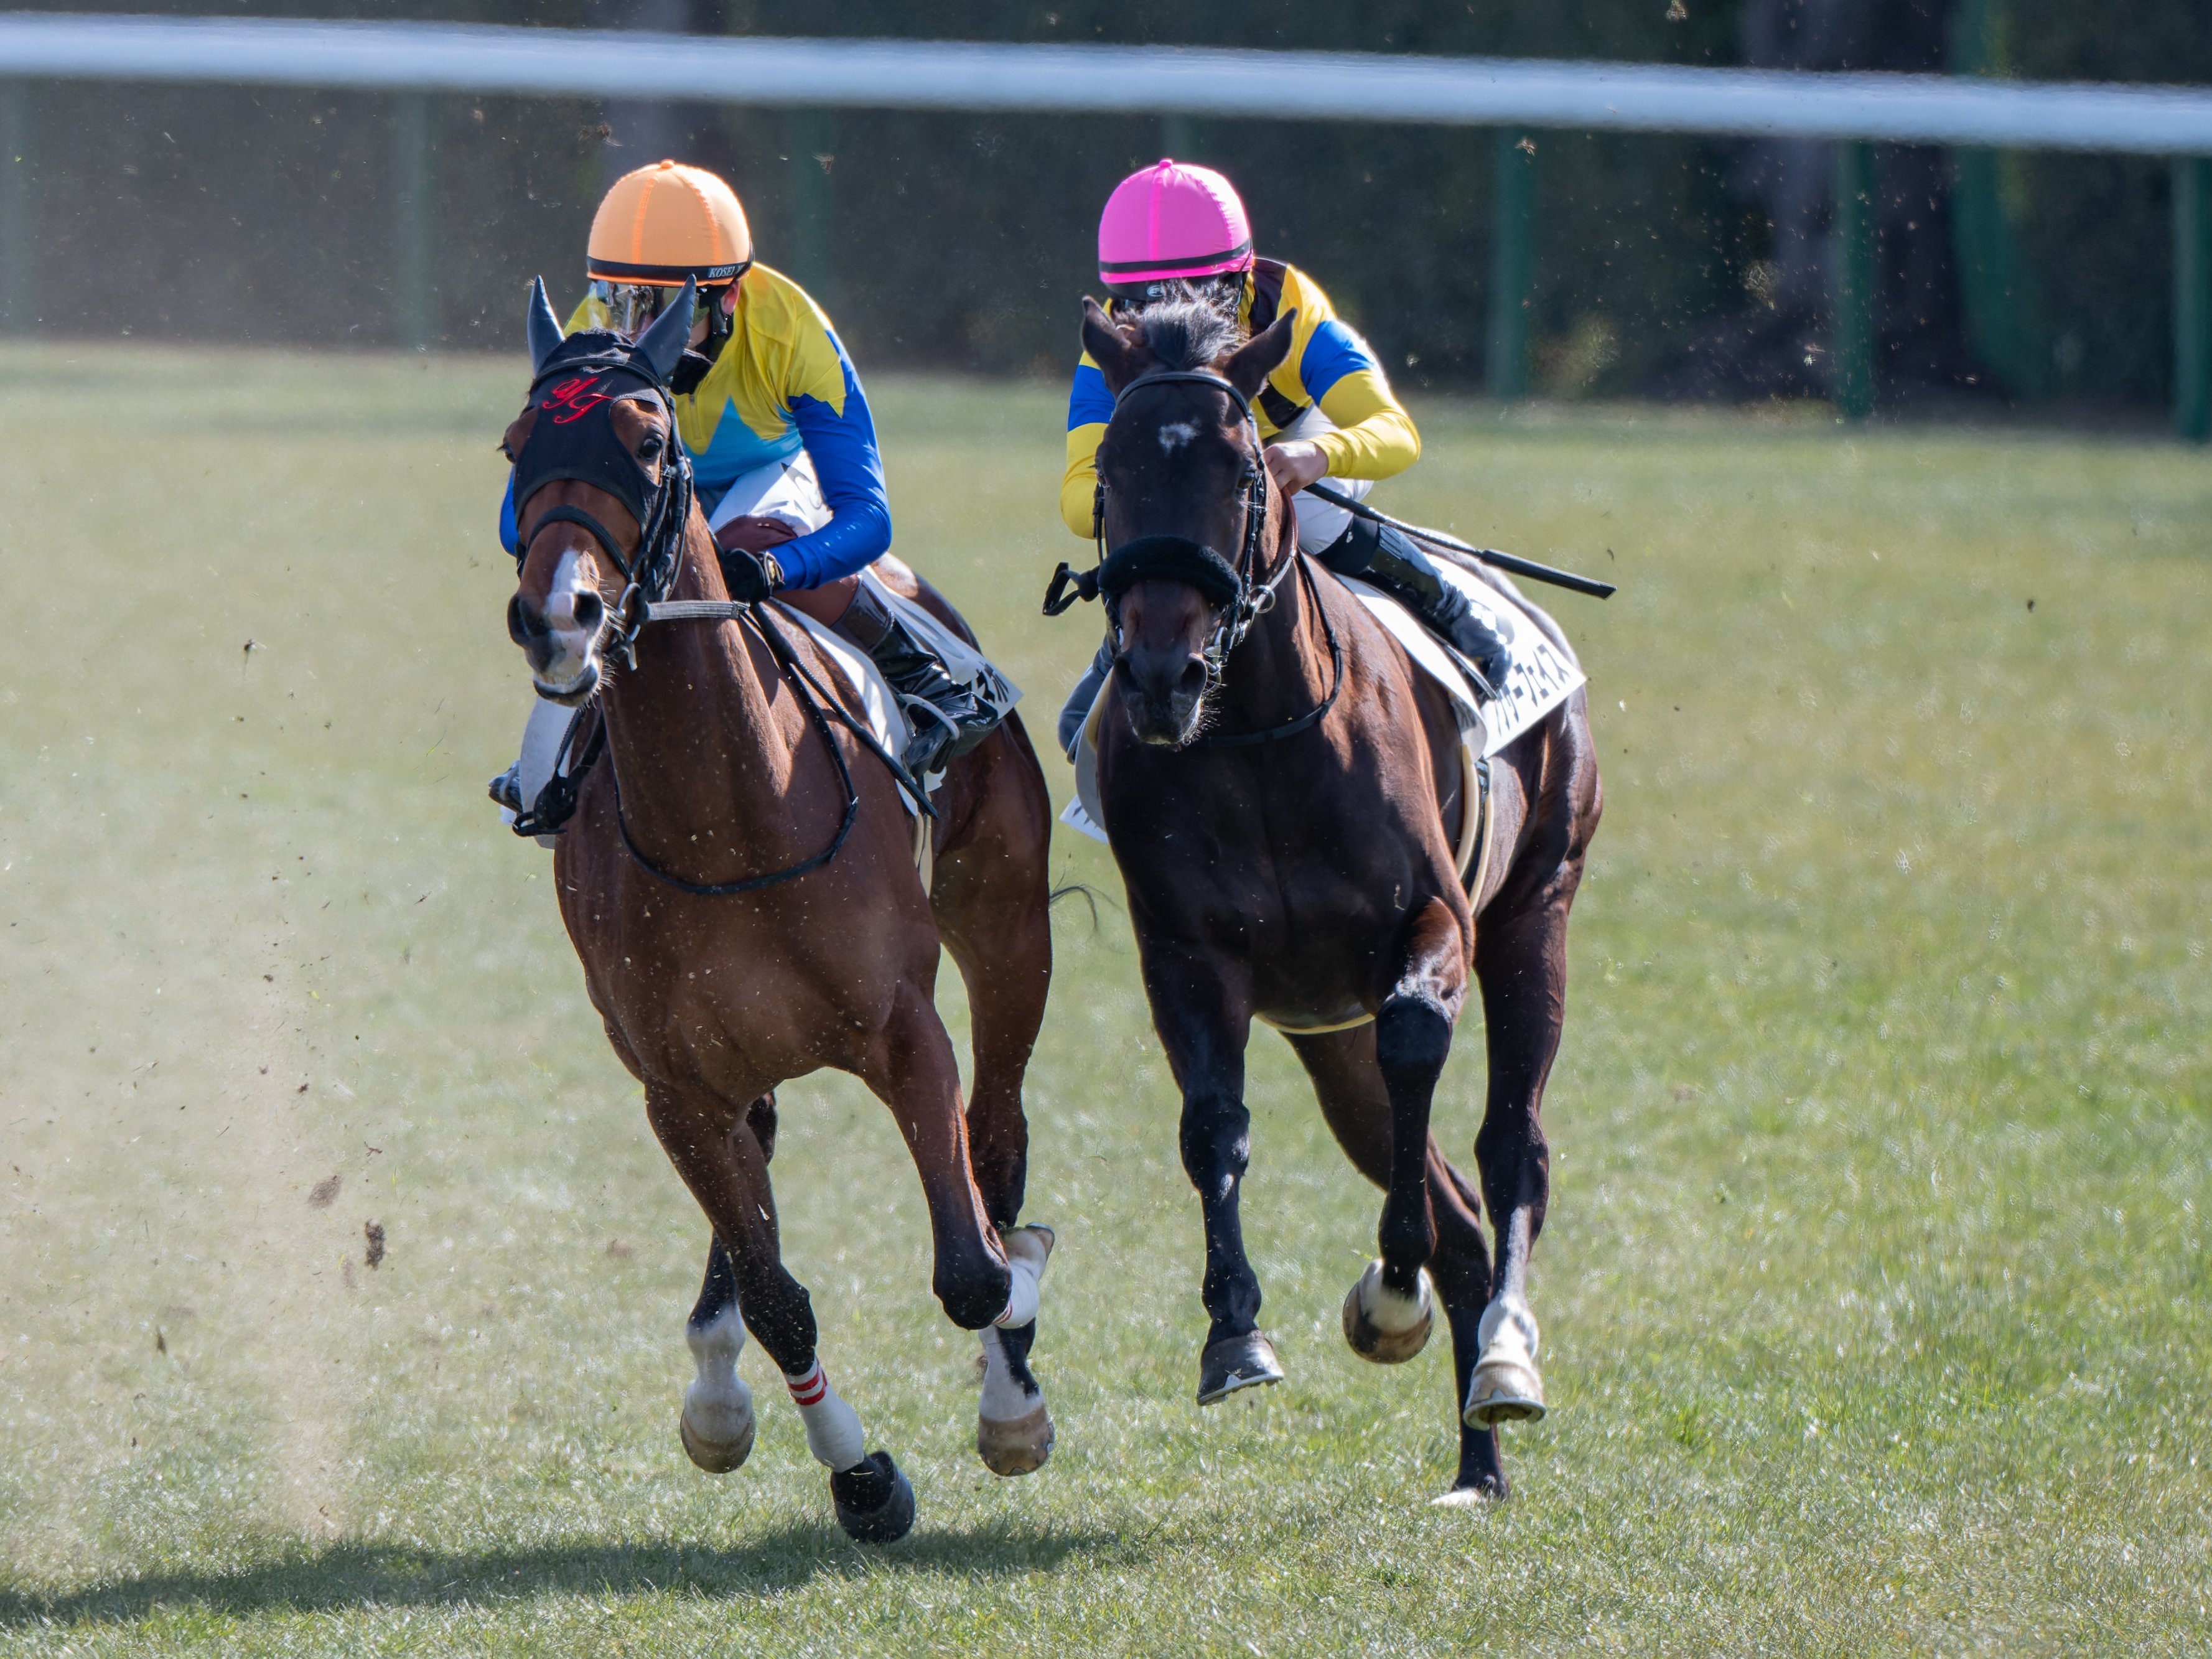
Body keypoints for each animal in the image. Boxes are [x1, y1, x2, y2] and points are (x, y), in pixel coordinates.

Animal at [500, 280, 1058, 1542]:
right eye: (517, 450)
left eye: (645, 444)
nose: (560, 618)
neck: (729, 816)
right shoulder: (673, 1084)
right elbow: (775, 1296)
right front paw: (861, 1475)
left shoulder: (906, 1032)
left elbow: (973, 1270)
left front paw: (1015, 1328)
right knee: (756, 1176)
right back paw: (717, 1389)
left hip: (1007, 926)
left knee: (998, 1134)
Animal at [1067, 295, 1601, 1501]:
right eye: (1111, 468)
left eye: (1243, 468)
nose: (1162, 674)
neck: (1264, 732)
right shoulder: (1187, 957)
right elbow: (1213, 1127)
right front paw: (1234, 1334)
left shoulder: (1435, 923)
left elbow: (1417, 1041)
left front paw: (1389, 1290)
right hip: (1327, 1034)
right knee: (1451, 1202)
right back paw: (1476, 1461)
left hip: (1536, 908)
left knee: (1509, 1147)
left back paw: (1504, 1359)